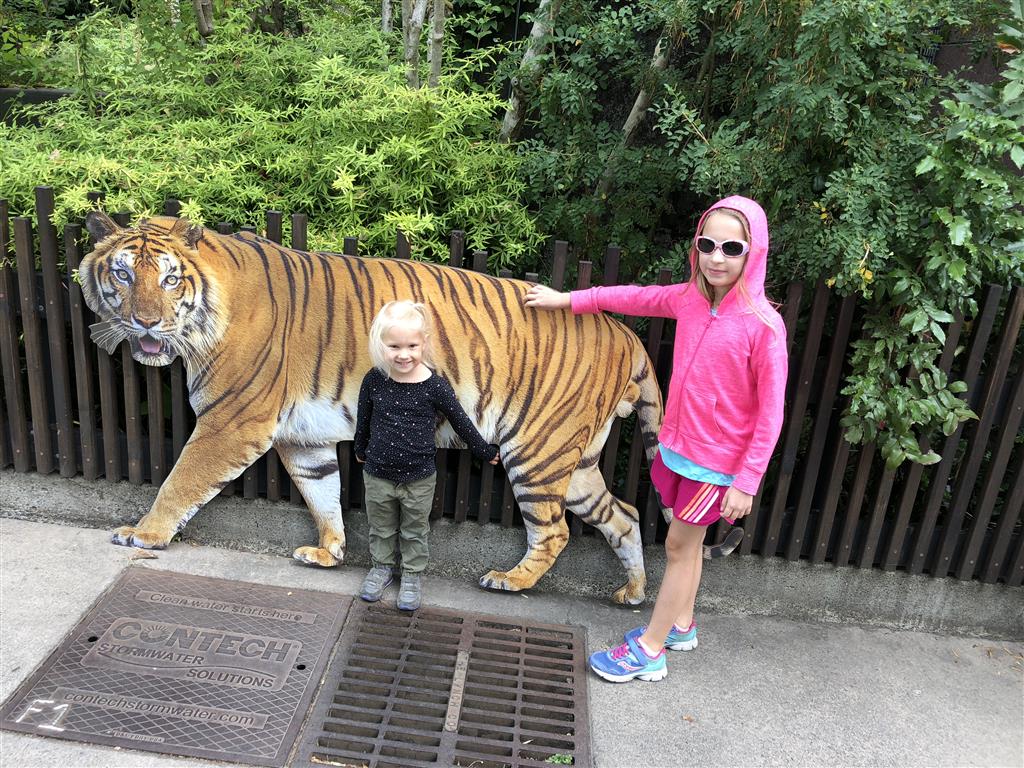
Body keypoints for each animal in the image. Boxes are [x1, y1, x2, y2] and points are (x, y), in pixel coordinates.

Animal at [80, 212, 736, 605]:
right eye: (122, 274)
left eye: (169, 280)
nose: (144, 322)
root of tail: (624, 332)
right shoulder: (303, 438)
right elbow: (322, 493)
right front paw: (329, 552)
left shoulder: (230, 421)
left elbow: (179, 480)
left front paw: (142, 534)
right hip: (573, 463)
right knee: (622, 515)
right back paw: (633, 592)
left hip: (537, 451)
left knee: (554, 532)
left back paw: (509, 580)